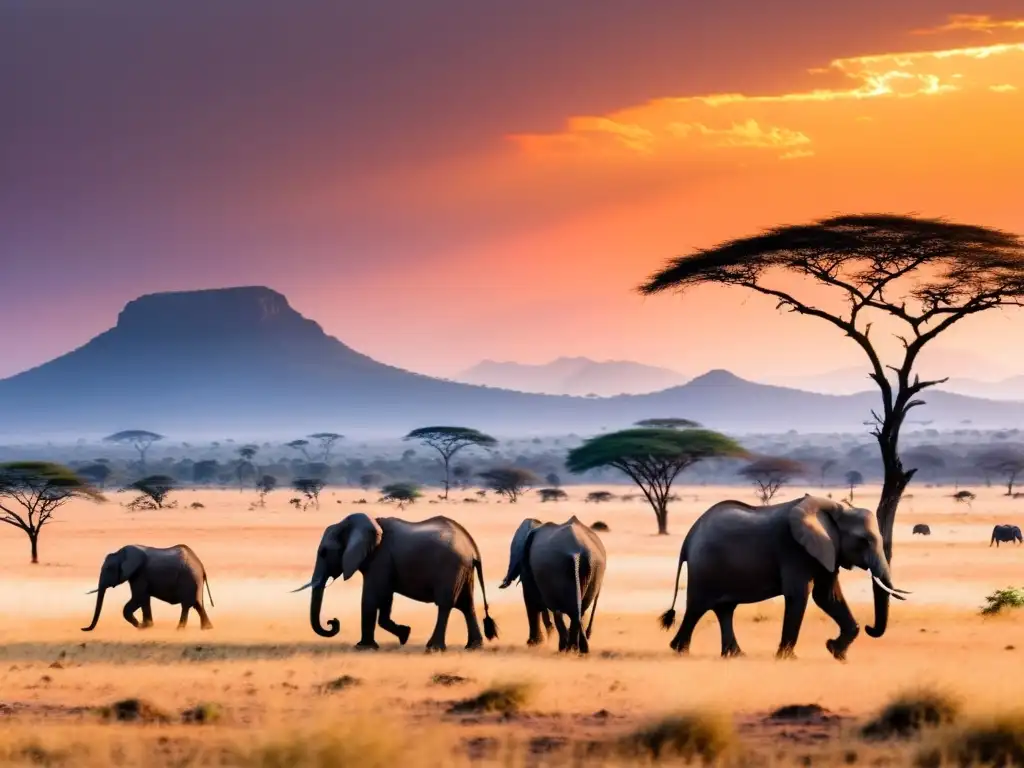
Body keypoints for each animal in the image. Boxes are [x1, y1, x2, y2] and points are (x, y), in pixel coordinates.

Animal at [81, 540, 214, 630]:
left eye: (108, 568)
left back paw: (180, 629)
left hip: (189, 579)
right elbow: (144, 599)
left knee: (189, 604)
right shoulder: (136, 575)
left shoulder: (139, 574)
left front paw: (141, 626)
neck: (120, 553)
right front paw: (146, 626)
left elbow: (139, 598)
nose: (83, 629)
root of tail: (201, 566)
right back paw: (206, 628)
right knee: (196, 605)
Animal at [294, 514, 497, 651]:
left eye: (324, 553)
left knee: (446, 605)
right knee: (466, 605)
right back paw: (473, 647)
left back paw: (433, 648)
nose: (333, 622)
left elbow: (370, 598)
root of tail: (472, 548)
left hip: (451, 568)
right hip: (464, 571)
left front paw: (363, 647)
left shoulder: (380, 559)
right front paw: (404, 634)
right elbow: (385, 599)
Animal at [497, 518, 602, 655]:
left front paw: (534, 644)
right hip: (593, 569)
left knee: (562, 610)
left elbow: (531, 600)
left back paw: (568, 648)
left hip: (558, 569)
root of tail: (576, 553)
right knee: (578, 610)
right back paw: (577, 650)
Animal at [659, 495, 909, 663]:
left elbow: (827, 596)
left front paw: (836, 652)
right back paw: (680, 651)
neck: (833, 510)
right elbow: (800, 595)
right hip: (705, 567)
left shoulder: (827, 550)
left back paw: (735, 655)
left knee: (725, 609)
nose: (869, 627)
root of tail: (689, 538)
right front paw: (787, 658)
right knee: (697, 607)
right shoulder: (794, 549)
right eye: (863, 541)